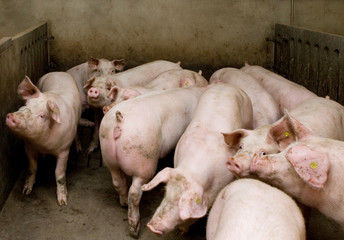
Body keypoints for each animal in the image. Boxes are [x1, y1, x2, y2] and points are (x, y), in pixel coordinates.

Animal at [5, 72, 81, 205]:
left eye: (41, 115)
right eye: (25, 105)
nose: (12, 116)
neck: (43, 144)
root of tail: (58, 72)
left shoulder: (64, 150)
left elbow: (59, 175)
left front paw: (62, 202)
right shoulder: (28, 147)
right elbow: (32, 168)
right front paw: (25, 191)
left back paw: (78, 149)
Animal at [98, 85, 203, 237]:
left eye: (126, 97)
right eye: (115, 98)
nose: (106, 107)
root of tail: (120, 120)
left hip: (109, 157)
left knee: (118, 182)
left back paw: (123, 204)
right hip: (145, 161)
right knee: (135, 192)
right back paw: (134, 230)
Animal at [141, 82, 254, 234]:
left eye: (180, 201)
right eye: (165, 192)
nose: (151, 227)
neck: (191, 169)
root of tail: (227, 85)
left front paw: (182, 231)